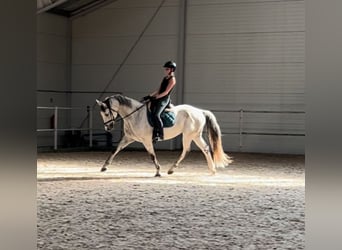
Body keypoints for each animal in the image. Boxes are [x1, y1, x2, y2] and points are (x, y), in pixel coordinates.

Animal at [95, 94, 231, 178]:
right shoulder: (129, 138)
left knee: (186, 150)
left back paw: (171, 169)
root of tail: (200, 111)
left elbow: (152, 155)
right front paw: (104, 167)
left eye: (106, 113)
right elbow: (115, 150)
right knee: (205, 149)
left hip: (188, 135)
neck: (135, 115)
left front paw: (158, 172)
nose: (108, 127)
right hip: (195, 135)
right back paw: (212, 170)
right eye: (102, 114)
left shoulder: (146, 140)